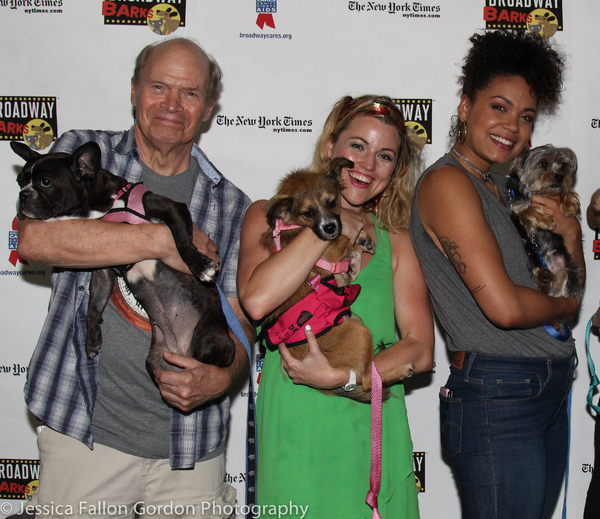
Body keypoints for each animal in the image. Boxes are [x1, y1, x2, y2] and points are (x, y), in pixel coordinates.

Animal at [11, 139, 237, 374]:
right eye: (20, 182)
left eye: (45, 182)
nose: (22, 195)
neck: (107, 206)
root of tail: (181, 350)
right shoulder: (103, 271)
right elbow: (94, 305)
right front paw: (92, 339)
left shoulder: (170, 208)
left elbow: (182, 242)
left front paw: (201, 266)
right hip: (154, 360)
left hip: (208, 340)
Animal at [260, 157, 414, 402]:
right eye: (308, 213)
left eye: (332, 202)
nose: (329, 226)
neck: (293, 226)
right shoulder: (329, 250)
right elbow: (345, 237)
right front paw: (356, 250)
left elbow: (350, 240)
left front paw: (361, 244)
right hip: (359, 332)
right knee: (368, 381)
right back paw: (399, 371)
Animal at [508, 144, 584, 306]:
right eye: (543, 164)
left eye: (563, 166)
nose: (560, 177)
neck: (544, 193)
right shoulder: (516, 210)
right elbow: (526, 210)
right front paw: (547, 221)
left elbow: (567, 192)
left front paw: (569, 205)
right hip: (534, 263)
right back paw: (543, 278)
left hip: (568, 269)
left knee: (560, 291)